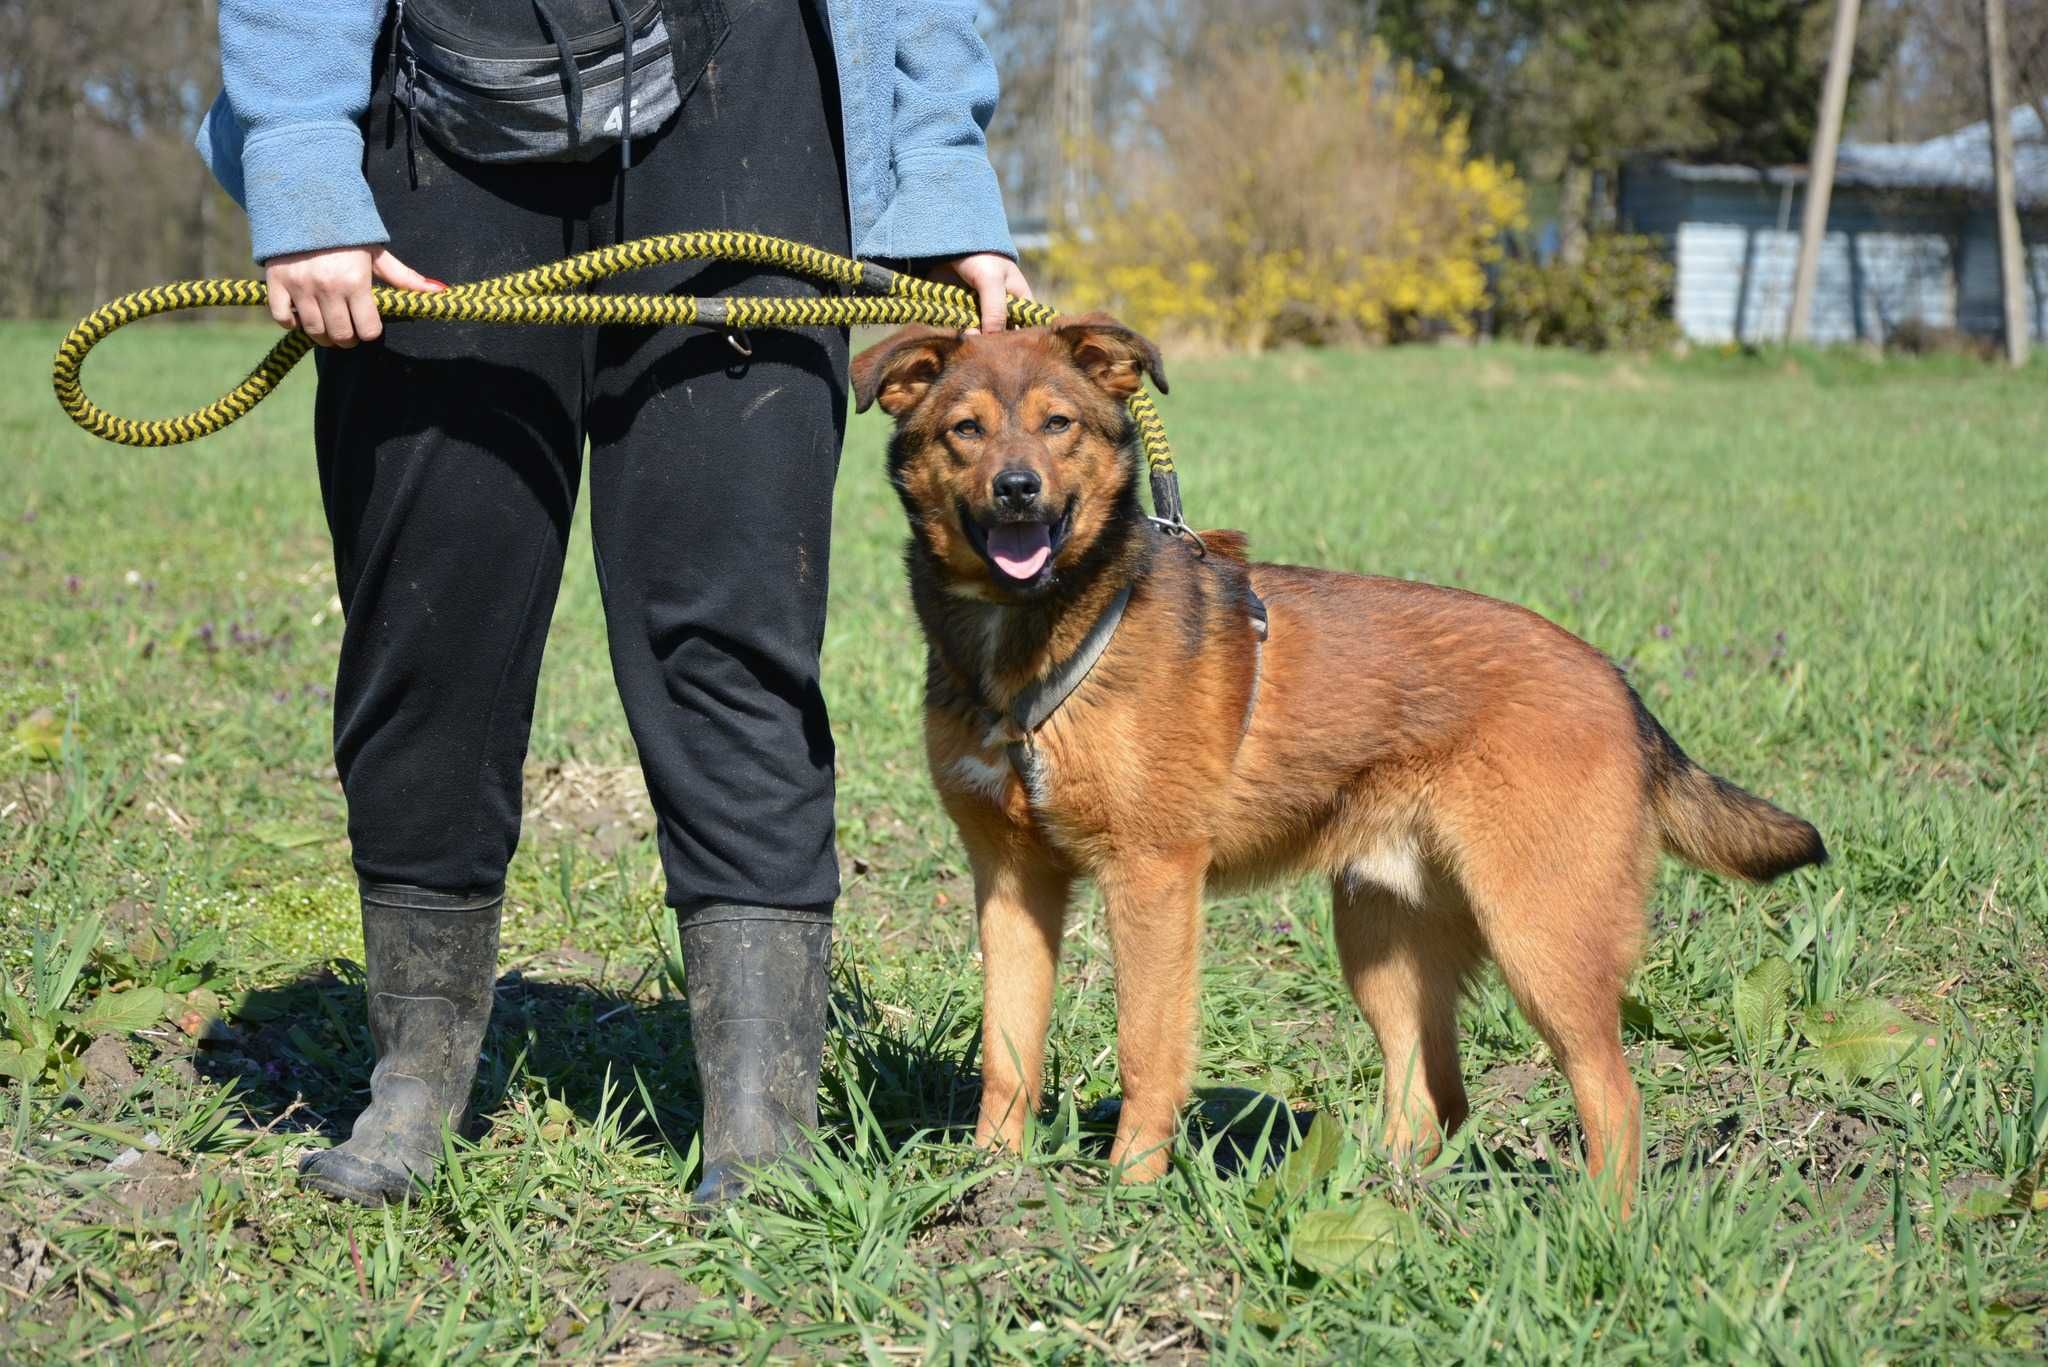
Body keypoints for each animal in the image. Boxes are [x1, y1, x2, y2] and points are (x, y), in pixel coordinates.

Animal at [847, 315, 1826, 1205]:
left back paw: (1597, 1226)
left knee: (1610, 1094)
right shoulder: (1012, 877)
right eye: (965, 429)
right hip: (1382, 939)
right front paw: (989, 1177)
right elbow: (1006, 1049)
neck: (1039, 633)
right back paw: (1388, 1197)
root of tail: (1617, 686)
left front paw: (1130, 1191)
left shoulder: (1151, 878)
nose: (1017, 491)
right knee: (1433, 1091)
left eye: (1059, 424)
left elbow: (1145, 1050)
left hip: (1543, 934)